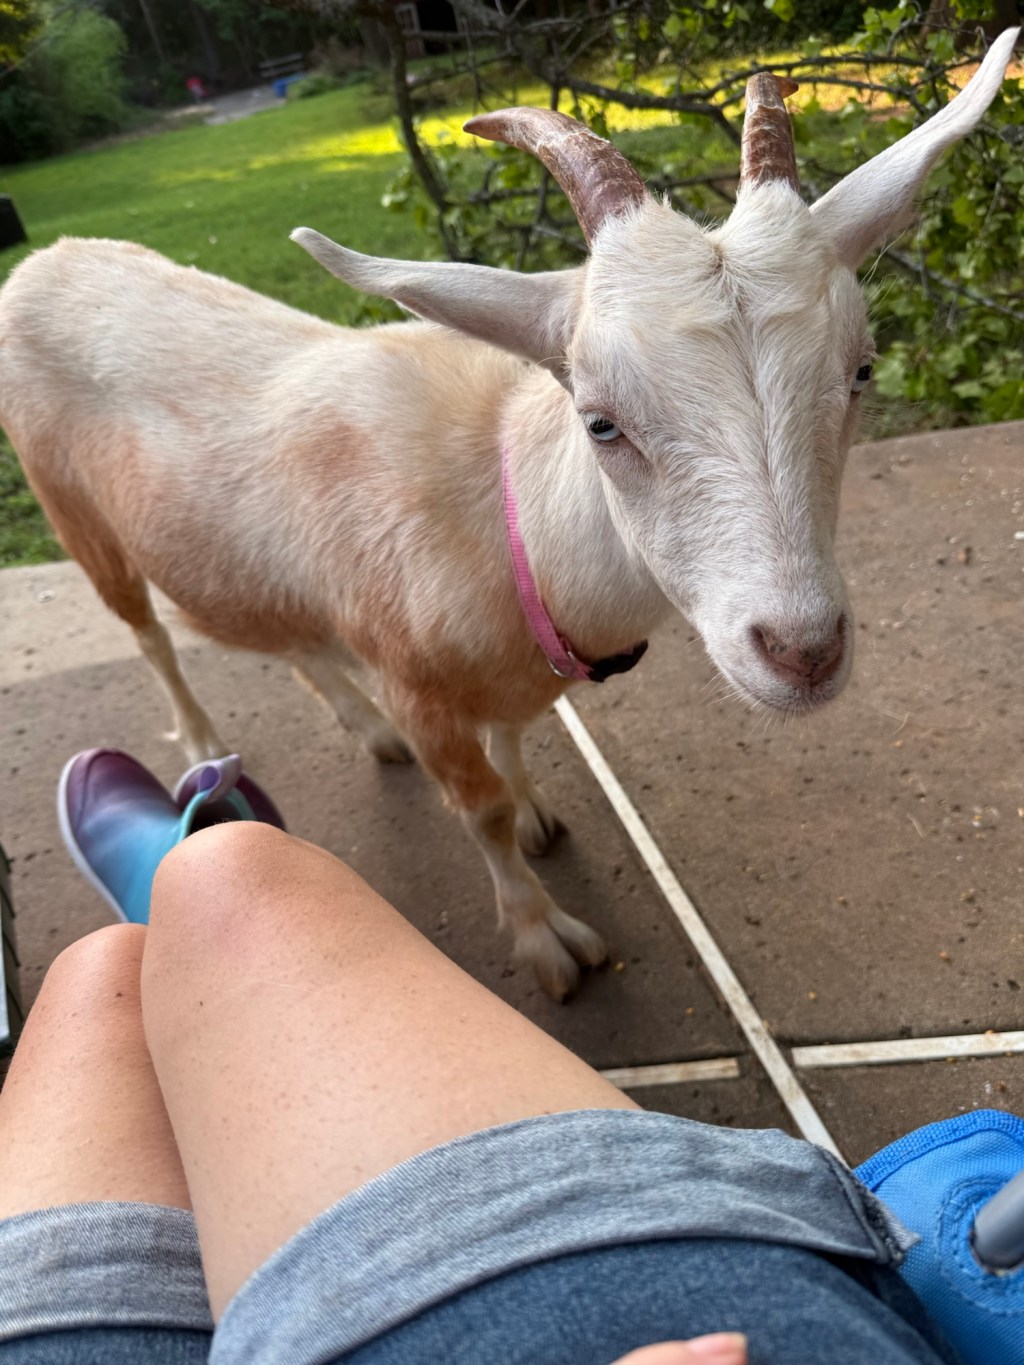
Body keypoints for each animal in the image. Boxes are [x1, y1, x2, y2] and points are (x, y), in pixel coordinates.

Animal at [0, 32, 1015, 998]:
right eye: (601, 420)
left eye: (862, 370)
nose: (802, 650)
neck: (505, 511)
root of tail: (44, 260)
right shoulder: (420, 686)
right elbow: (478, 806)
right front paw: (543, 937)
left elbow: (514, 743)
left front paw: (533, 811)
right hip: (69, 506)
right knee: (146, 631)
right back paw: (206, 743)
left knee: (286, 635)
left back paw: (363, 729)